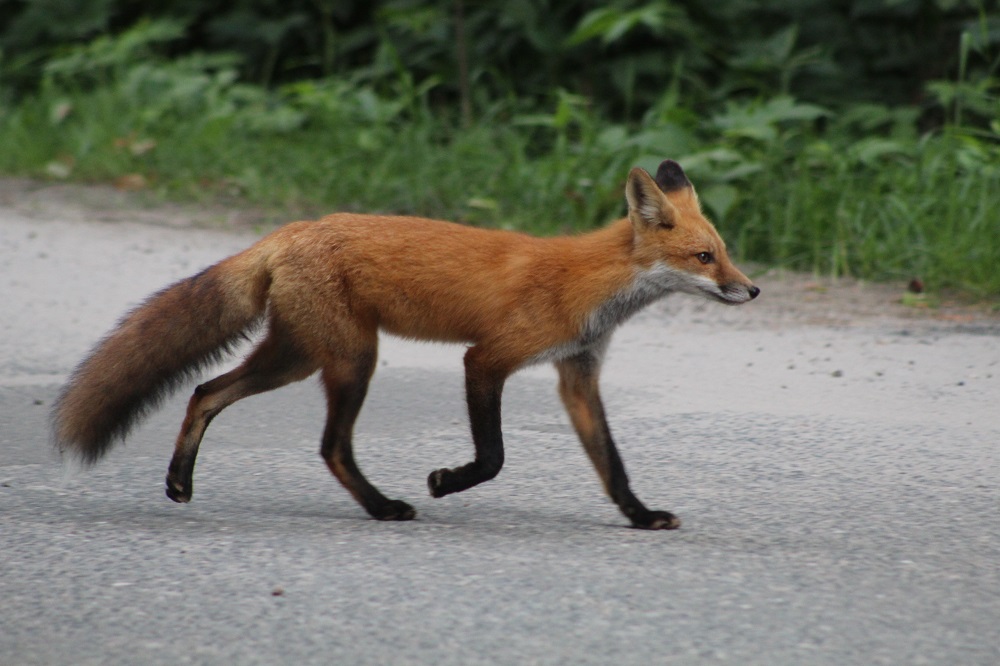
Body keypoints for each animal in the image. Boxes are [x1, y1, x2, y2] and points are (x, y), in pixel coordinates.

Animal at [52, 158, 756, 528]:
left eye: (726, 253)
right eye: (705, 257)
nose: (750, 290)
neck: (588, 283)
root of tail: (292, 229)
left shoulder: (578, 375)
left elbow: (612, 464)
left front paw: (640, 515)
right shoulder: (488, 358)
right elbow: (493, 456)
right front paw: (446, 482)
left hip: (297, 356)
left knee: (204, 390)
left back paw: (179, 481)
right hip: (352, 359)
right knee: (330, 446)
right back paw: (384, 506)